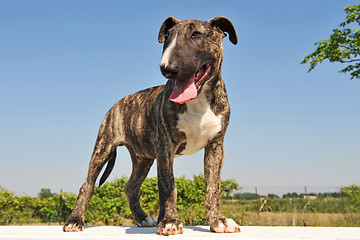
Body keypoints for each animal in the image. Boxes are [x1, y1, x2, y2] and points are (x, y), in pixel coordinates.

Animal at [64, 15, 239, 235]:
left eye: (196, 34)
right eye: (167, 38)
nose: (167, 68)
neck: (198, 100)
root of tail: (118, 103)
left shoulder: (216, 145)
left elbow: (213, 186)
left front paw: (218, 221)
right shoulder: (165, 145)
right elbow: (168, 185)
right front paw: (171, 221)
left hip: (143, 158)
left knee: (131, 187)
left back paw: (142, 218)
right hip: (103, 147)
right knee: (87, 184)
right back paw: (75, 220)